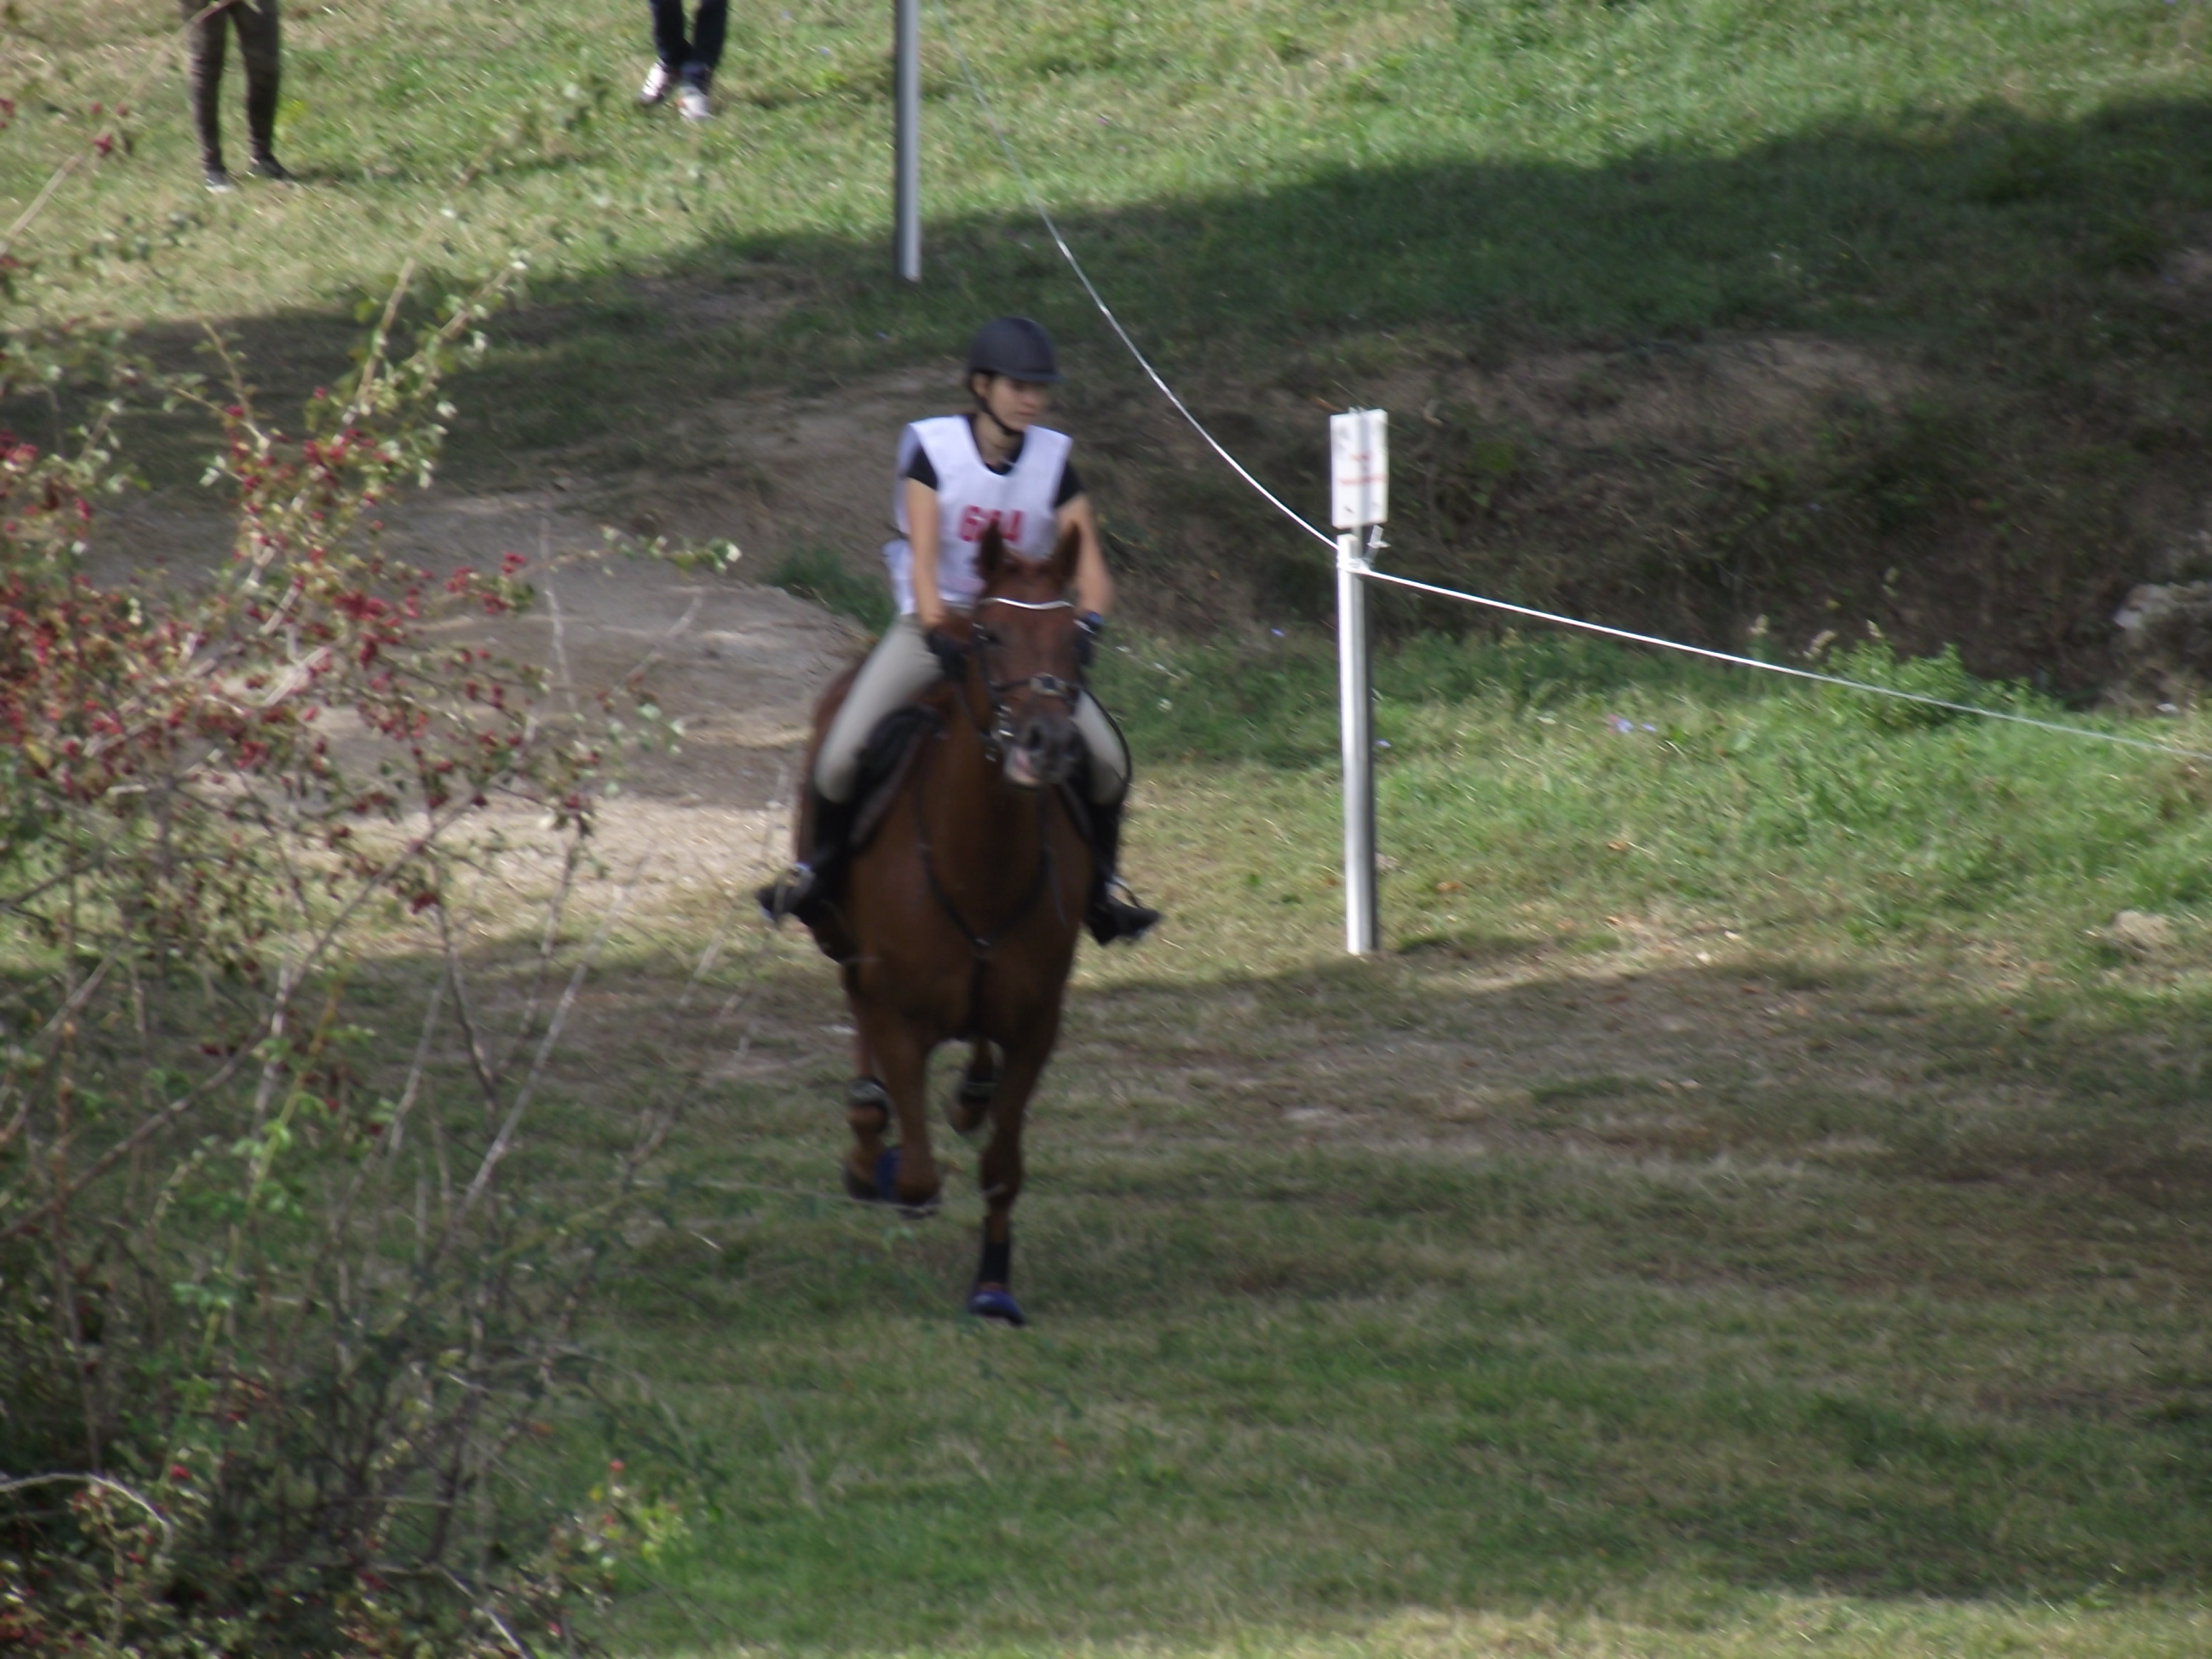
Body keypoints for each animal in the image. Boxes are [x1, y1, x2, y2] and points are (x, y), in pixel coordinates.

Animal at [787, 519, 1097, 1327]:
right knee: (858, 1015)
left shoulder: (1036, 1022)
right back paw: (869, 1141)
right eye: (988, 634)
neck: (979, 864)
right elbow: (921, 1178)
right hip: (839, 937)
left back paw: (967, 1096)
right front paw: (886, 1166)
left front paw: (993, 1288)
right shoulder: (900, 1011)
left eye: (1076, 639)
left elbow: (1002, 1166)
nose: (1049, 744)